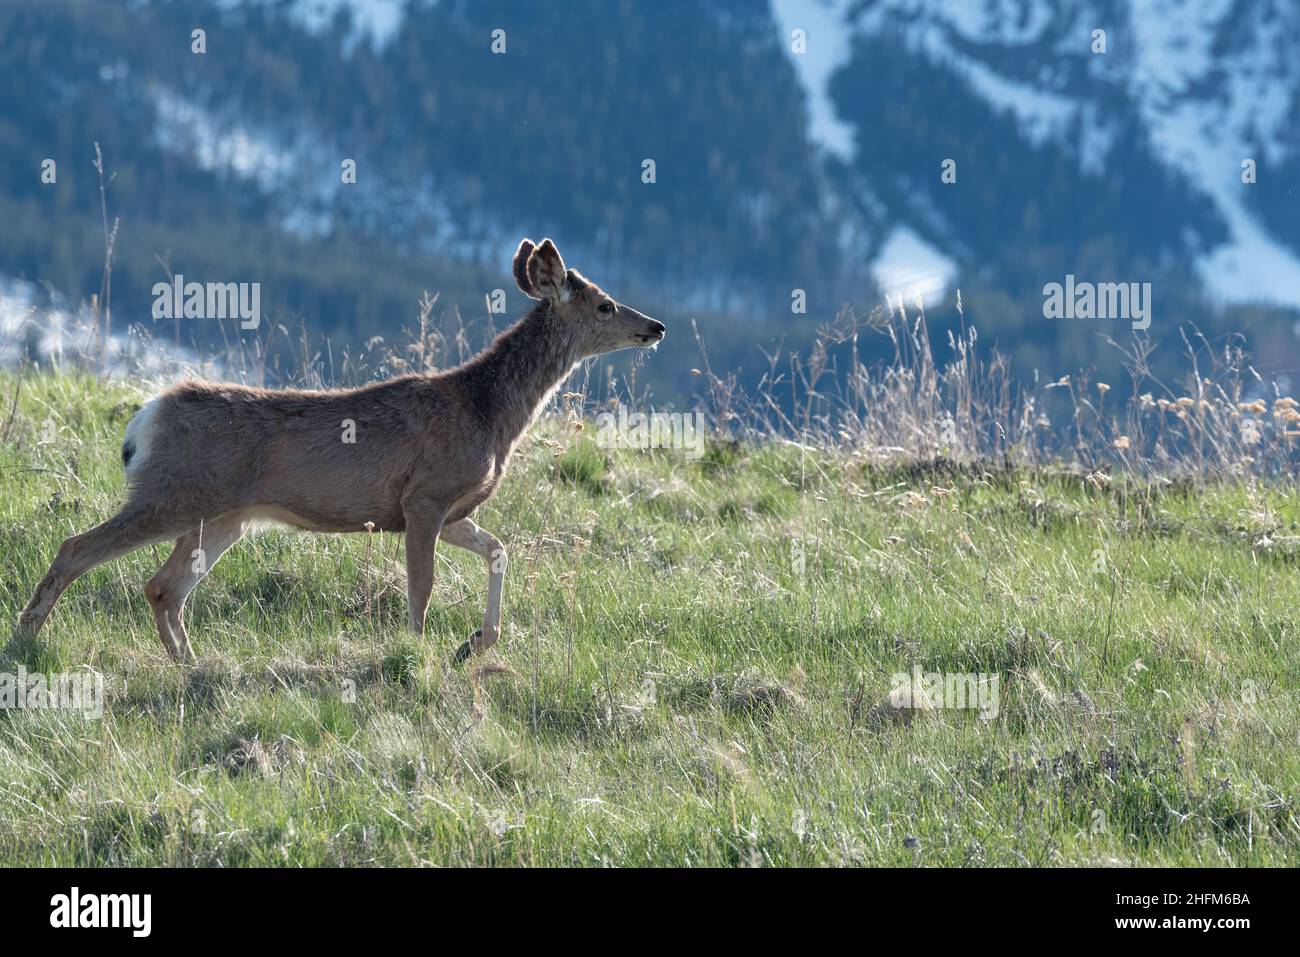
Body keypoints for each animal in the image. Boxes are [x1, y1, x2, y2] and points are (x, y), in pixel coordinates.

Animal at [16, 238, 665, 664]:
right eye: (605, 304)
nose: (655, 326)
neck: (489, 410)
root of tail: (144, 419)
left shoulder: (451, 508)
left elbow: (499, 550)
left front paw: (475, 643)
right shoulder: (425, 496)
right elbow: (421, 584)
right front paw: (416, 652)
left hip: (221, 515)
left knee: (163, 588)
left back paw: (191, 665)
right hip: (173, 493)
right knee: (79, 548)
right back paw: (27, 638)